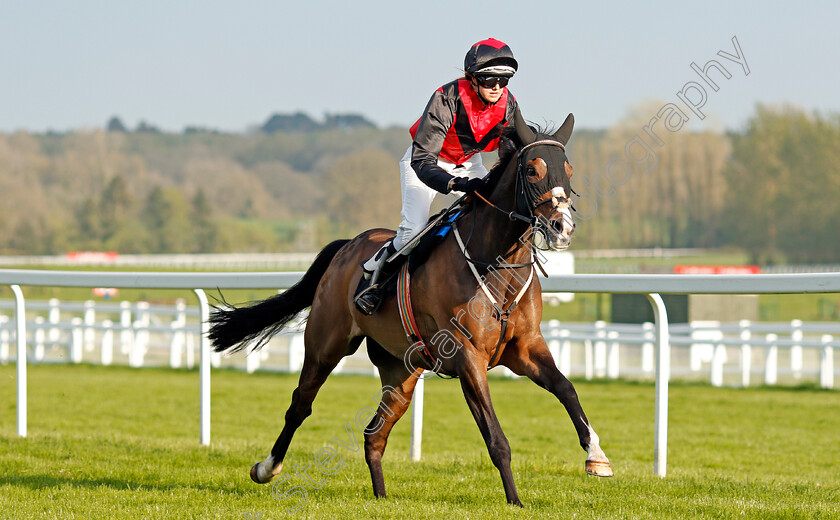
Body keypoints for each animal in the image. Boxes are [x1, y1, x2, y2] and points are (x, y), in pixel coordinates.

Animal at [209, 107, 612, 506]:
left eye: (569, 170)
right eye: (532, 170)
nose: (562, 227)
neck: (496, 261)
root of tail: (346, 246)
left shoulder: (525, 347)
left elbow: (567, 389)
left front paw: (597, 457)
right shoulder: (467, 355)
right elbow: (496, 438)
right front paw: (515, 501)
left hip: (401, 370)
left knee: (374, 433)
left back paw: (381, 496)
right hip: (326, 345)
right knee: (300, 405)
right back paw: (267, 468)